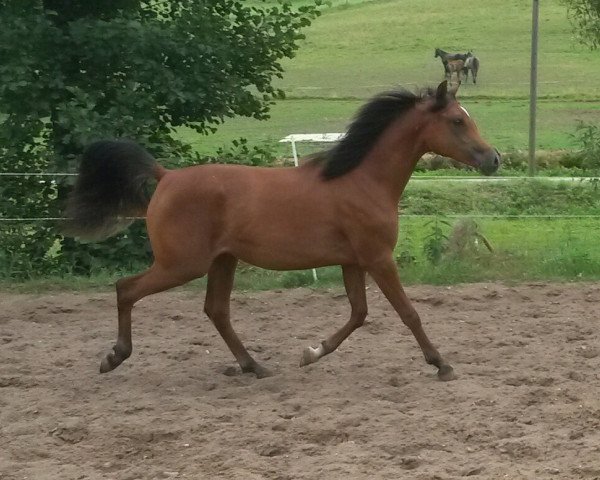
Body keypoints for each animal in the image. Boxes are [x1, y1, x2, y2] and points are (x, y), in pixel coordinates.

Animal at [63, 81, 500, 382]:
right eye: (457, 120)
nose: (493, 159)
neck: (362, 181)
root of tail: (166, 176)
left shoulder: (352, 261)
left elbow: (358, 314)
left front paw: (311, 352)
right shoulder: (378, 258)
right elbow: (408, 313)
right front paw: (442, 365)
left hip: (223, 261)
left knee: (216, 311)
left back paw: (254, 366)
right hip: (182, 264)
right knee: (126, 289)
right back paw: (114, 357)